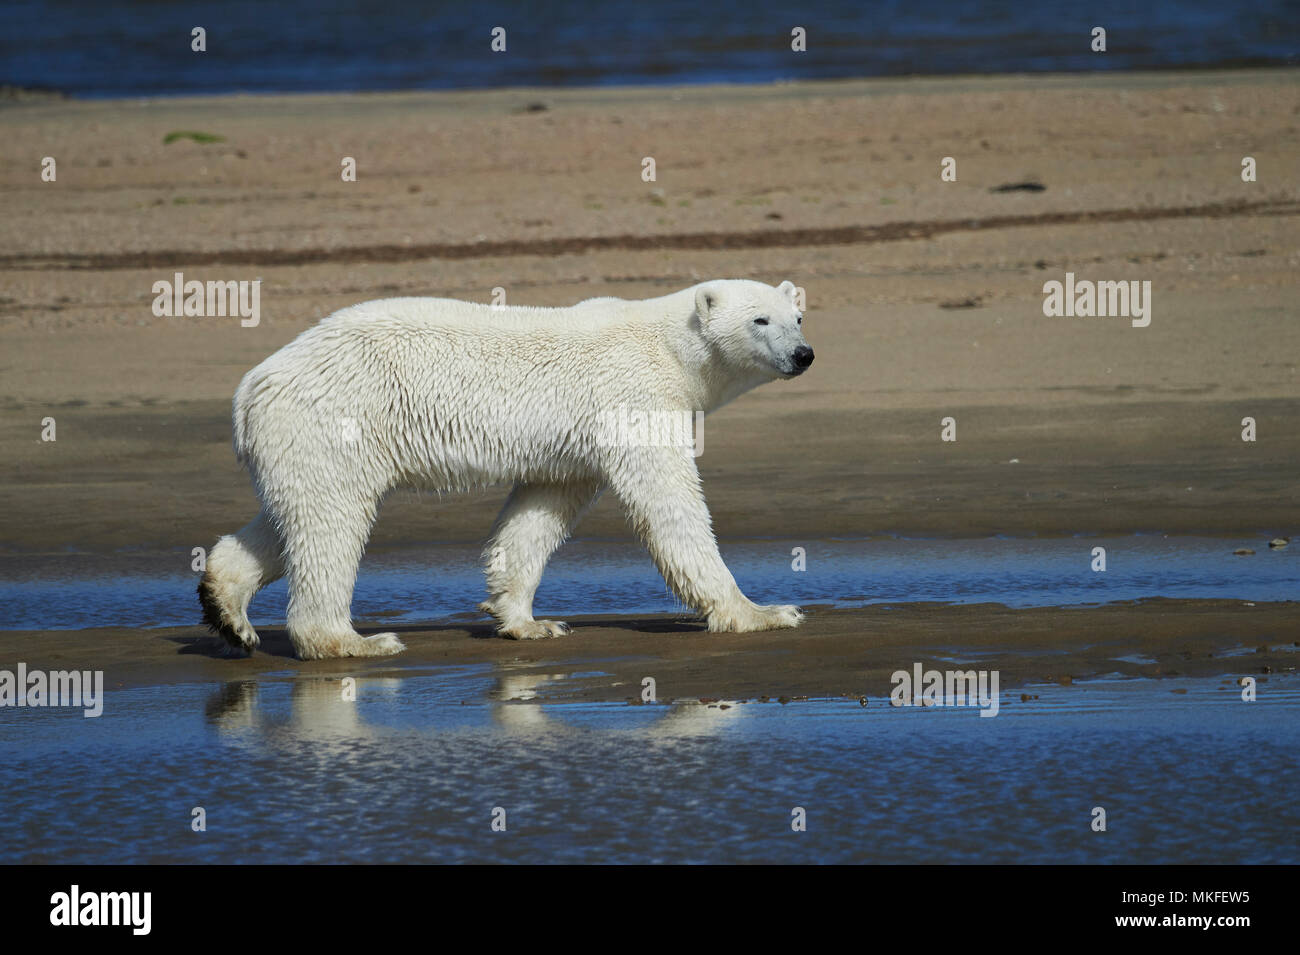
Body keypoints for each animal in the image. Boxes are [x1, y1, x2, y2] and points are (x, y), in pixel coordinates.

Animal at [198, 279, 815, 660]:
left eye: (799, 316)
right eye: (760, 320)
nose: (803, 354)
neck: (669, 347)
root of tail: (251, 387)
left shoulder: (573, 443)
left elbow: (539, 512)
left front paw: (529, 622)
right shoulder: (632, 398)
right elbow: (669, 503)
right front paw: (762, 612)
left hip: (301, 439)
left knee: (294, 516)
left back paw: (227, 610)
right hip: (339, 418)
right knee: (331, 523)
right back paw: (355, 641)